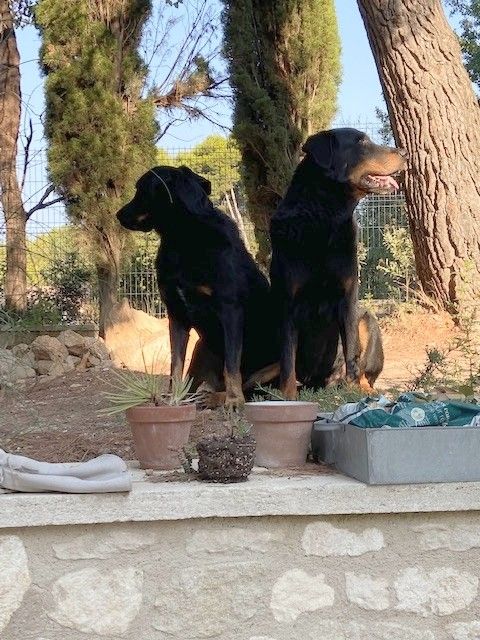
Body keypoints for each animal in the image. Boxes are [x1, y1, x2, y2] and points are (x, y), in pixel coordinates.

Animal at [117, 165, 278, 404]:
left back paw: (217, 398)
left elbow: (232, 365)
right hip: (201, 348)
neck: (182, 238)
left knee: (253, 389)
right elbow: (175, 364)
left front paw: (233, 401)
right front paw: (172, 399)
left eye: (140, 190)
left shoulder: (230, 311)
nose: (117, 215)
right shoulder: (177, 314)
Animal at [270, 129, 404, 398]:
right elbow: (287, 360)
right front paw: (287, 397)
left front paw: (352, 391)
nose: (405, 152)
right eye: (361, 142)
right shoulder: (288, 304)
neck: (322, 216)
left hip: (368, 321)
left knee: (362, 366)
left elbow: (351, 349)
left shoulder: (347, 297)